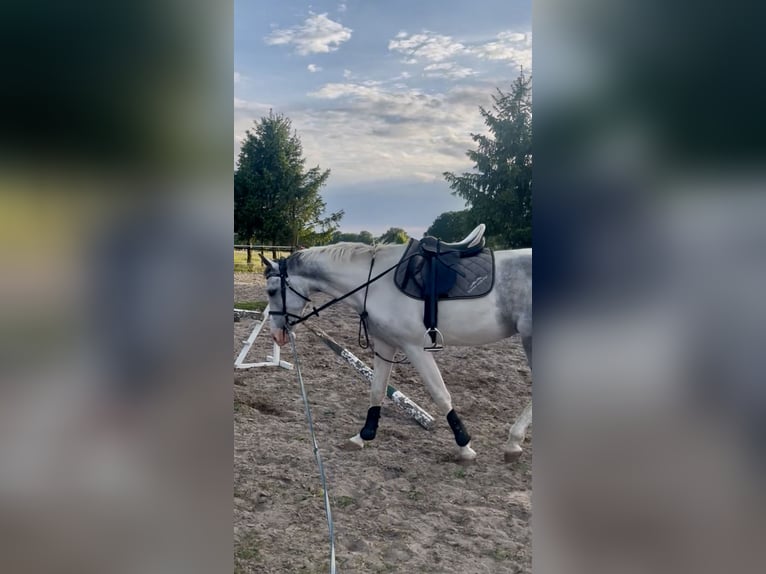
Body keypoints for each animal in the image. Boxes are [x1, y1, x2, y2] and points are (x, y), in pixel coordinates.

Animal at [260, 230, 532, 462]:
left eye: (272, 291)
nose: (276, 335)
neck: (375, 282)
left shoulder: (414, 347)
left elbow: (440, 394)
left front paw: (464, 445)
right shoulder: (385, 343)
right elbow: (377, 389)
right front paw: (363, 436)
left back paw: (513, 441)